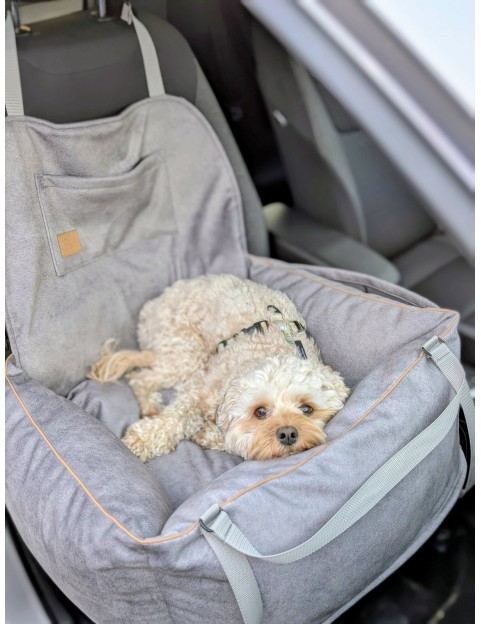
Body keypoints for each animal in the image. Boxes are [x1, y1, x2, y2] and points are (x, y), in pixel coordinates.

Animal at [88, 274, 349, 461]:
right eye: (260, 412)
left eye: (307, 409)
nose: (288, 434)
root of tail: (155, 302)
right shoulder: (199, 390)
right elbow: (176, 418)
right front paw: (142, 441)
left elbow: (234, 442)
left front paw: (206, 434)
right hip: (185, 352)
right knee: (141, 378)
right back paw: (151, 406)